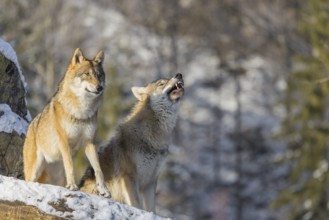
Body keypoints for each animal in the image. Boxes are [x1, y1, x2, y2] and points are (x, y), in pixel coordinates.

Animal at [23, 48, 110, 198]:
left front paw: (103, 190)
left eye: (99, 75)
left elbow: (98, 169)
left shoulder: (90, 142)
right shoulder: (64, 141)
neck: (81, 111)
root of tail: (30, 126)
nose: (99, 87)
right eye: (87, 74)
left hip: (54, 175)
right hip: (34, 171)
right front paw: (72, 186)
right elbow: (70, 165)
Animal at [78, 72, 183, 211]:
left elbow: (151, 209)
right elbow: (136, 205)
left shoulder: (150, 182)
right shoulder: (129, 177)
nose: (179, 75)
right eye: (161, 83)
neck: (155, 136)